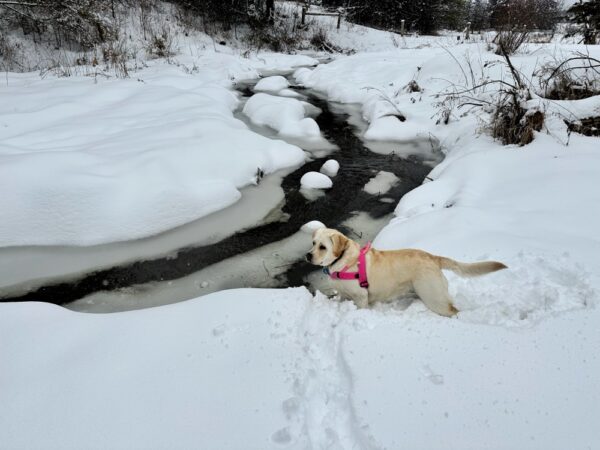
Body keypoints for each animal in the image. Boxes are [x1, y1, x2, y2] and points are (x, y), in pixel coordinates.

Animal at [308, 229, 508, 316]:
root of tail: (433, 257)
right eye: (313, 243)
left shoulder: (361, 297)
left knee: (453, 310)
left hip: (434, 298)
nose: (308, 256)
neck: (342, 261)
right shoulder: (343, 294)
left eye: (323, 247)